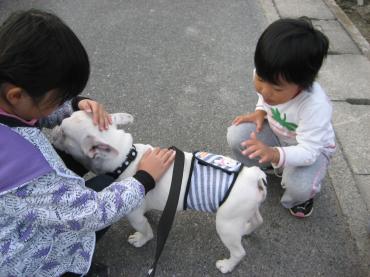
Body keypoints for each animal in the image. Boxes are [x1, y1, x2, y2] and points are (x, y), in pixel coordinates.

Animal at [52, 110, 266, 272]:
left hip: (225, 223)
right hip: (243, 212)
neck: (126, 157)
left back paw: (227, 265)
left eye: (63, 133)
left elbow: (144, 228)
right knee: (257, 220)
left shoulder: (134, 214)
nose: (54, 128)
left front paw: (141, 239)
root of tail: (254, 177)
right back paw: (246, 230)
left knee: (238, 251)